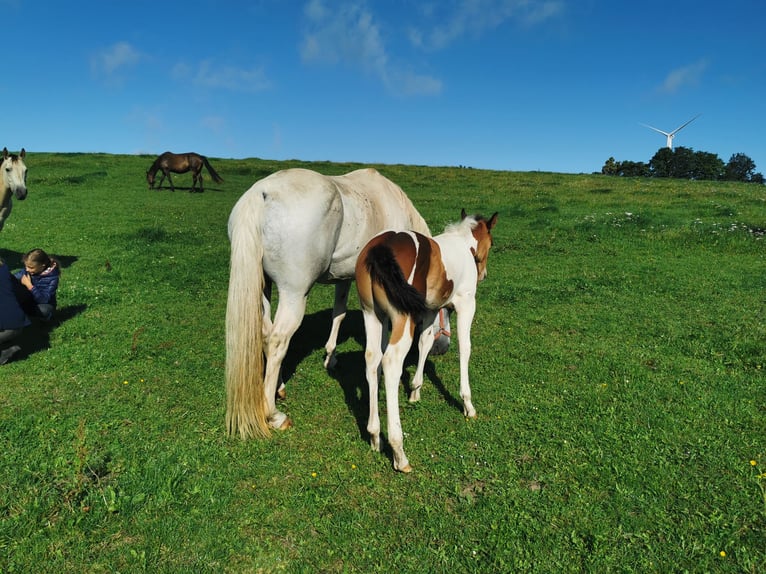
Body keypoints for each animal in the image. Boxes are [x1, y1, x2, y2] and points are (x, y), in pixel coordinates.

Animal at [356, 210, 500, 472]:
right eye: (492, 243)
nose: (483, 275)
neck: (464, 246)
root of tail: (381, 247)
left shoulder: (431, 310)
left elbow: (425, 343)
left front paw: (415, 390)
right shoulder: (466, 304)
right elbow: (465, 348)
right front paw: (468, 405)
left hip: (372, 314)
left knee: (373, 361)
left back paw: (374, 435)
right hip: (402, 319)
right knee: (390, 362)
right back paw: (399, 451)